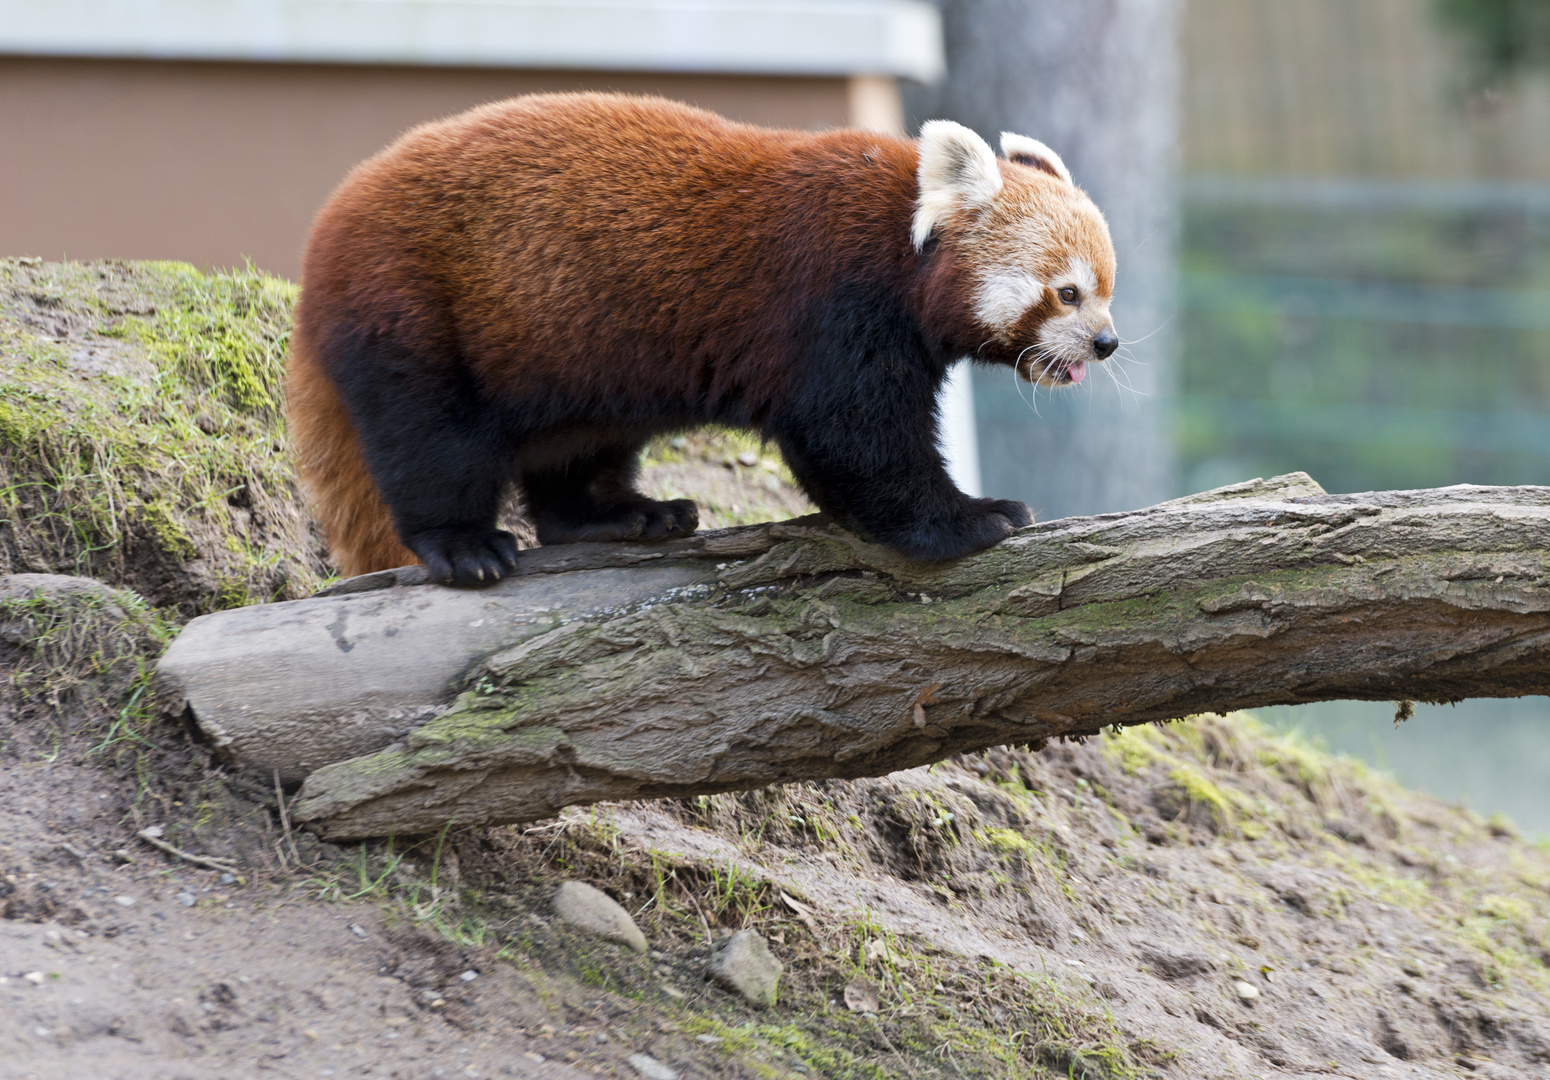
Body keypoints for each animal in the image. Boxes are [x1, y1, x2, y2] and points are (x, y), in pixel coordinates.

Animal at [288, 90, 1116, 582]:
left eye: (1109, 291)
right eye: (1067, 292)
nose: (1105, 344)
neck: (898, 241)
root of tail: (328, 230)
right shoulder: (831, 308)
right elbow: (856, 443)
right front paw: (971, 518)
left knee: (574, 452)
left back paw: (618, 516)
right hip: (412, 308)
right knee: (431, 442)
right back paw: (463, 544)